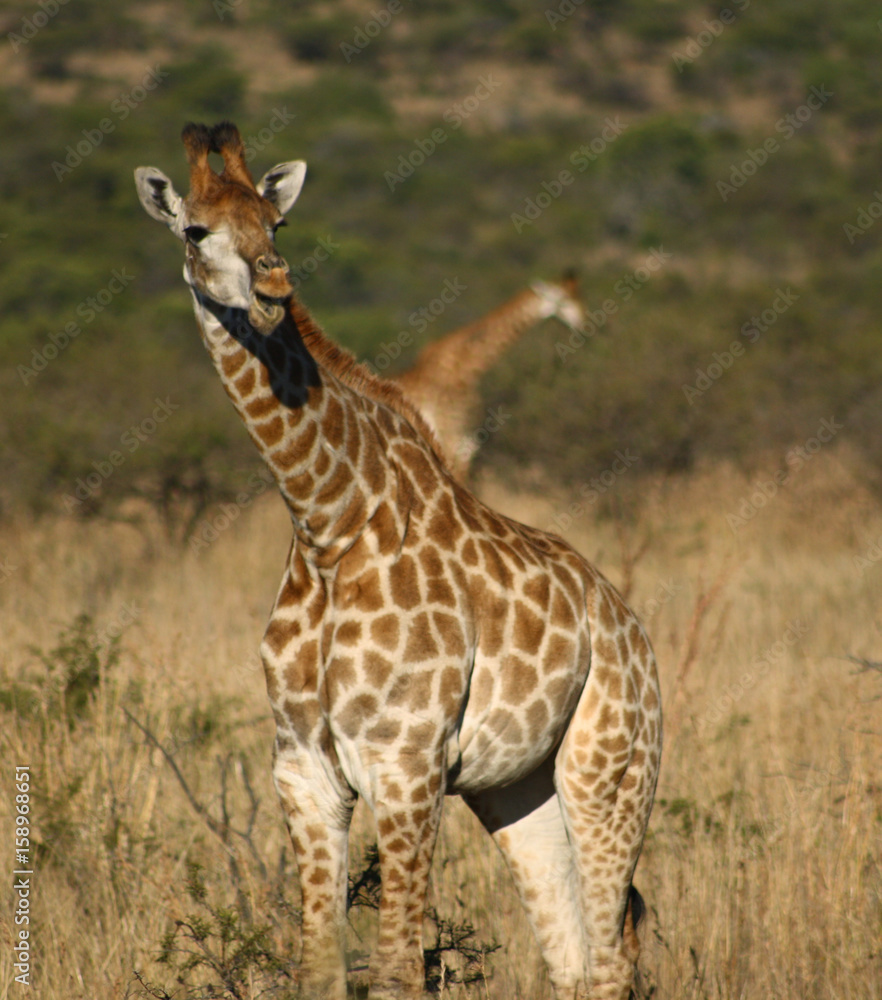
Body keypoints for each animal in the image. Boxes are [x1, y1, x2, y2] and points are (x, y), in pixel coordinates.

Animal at [391, 273, 584, 479]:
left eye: (579, 295)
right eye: (563, 300)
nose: (583, 321)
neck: (467, 366)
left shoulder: (467, 440)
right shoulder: (451, 438)